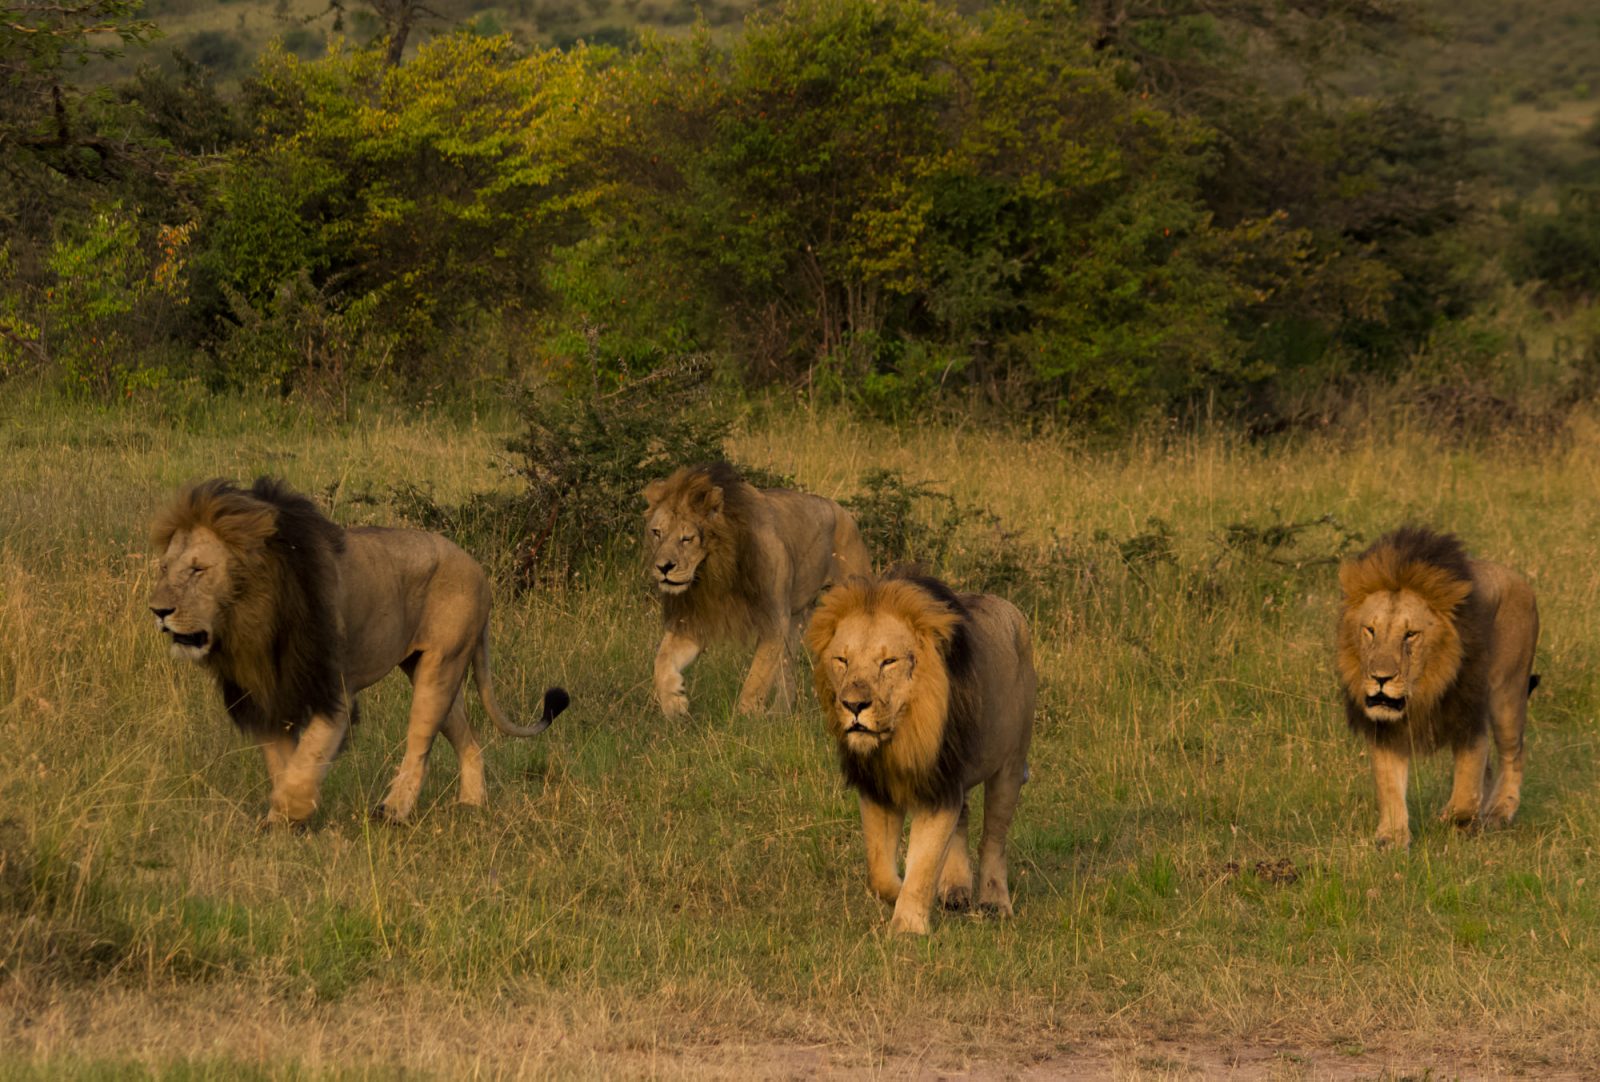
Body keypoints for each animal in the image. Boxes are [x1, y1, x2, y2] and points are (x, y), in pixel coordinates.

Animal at [145, 476, 569, 825]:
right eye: (164, 568)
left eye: (198, 570)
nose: (158, 611)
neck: (251, 620)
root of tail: (477, 568)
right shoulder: (268, 694)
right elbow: (282, 761)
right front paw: (285, 817)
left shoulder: (333, 692)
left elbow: (307, 757)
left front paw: (291, 809)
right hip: (432, 672)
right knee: (469, 738)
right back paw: (471, 803)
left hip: (441, 666)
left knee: (419, 744)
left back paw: (393, 811)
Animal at [640, 457, 876, 717]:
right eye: (656, 532)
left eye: (686, 538)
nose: (662, 567)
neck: (715, 569)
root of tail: (844, 512)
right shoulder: (695, 620)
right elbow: (662, 660)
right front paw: (674, 704)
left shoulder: (774, 620)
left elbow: (757, 678)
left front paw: (743, 719)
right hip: (795, 620)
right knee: (787, 668)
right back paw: (780, 713)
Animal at [800, 569, 1036, 934]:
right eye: (842, 660)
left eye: (888, 662)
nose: (853, 705)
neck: (901, 737)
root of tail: (1009, 608)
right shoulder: (879, 790)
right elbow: (879, 871)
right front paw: (899, 892)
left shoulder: (939, 788)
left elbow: (924, 864)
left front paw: (909, 927)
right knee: (964, 819)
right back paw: (954, 890)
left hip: (1008, 768)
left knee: (993, 839)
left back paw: (995, 902)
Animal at [1331, 528, 1542, 851]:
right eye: (1370, 630)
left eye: (1410, 635)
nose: (1380, 678)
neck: (1424, 690)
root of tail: (1521, 582)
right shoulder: (1387, 729)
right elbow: (1389, 783)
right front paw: (1393, 838)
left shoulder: (1469, 717)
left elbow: (1468, 783)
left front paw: (1452, 818)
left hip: (1507, 693)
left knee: (1513, 753)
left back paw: (1498, 812)